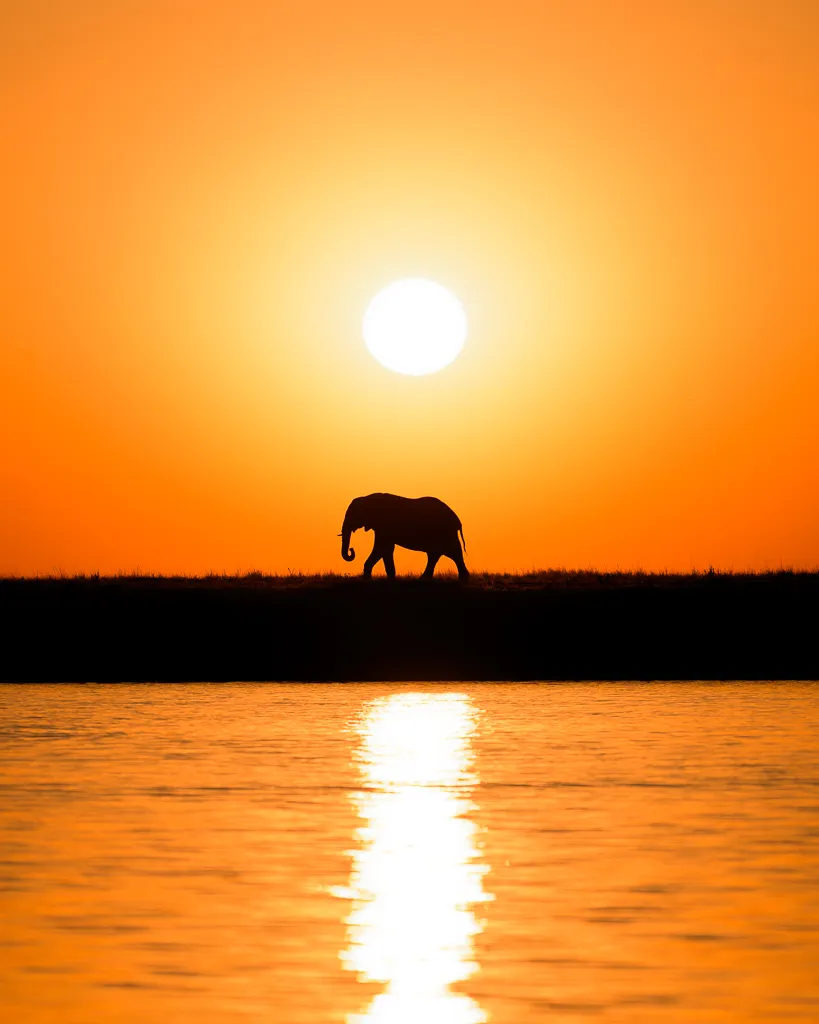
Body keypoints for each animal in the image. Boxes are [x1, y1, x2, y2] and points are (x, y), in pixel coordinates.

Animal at [340, 493, 469, 580]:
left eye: (354, 515)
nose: (351, 550)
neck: (368, 498)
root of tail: (457, 520)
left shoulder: (385, 525)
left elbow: (382, 548)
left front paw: (368, 578)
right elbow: (385, 549)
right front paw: (389, 578)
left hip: (444, 532)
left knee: (450, 552)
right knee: (441, 554)